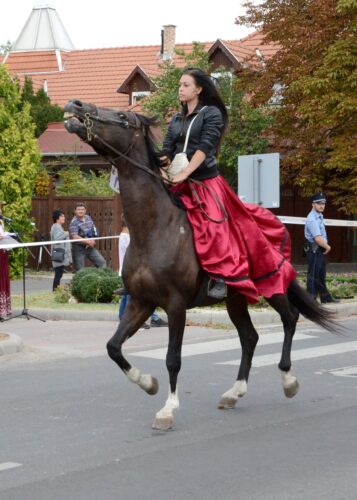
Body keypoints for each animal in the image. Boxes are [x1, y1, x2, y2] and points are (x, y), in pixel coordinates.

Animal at [63, 100, 336, 430]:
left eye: (122, 116)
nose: (75, 105)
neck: (154, 229)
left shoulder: (175, 305)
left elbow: (173, 358)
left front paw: (168, 409)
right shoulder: (141, 302)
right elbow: (113, 347)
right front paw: (148, 383)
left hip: (270, 285)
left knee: (290, 318)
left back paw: (288, 381)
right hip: (236, 298)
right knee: (250, 337)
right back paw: (234, 392)